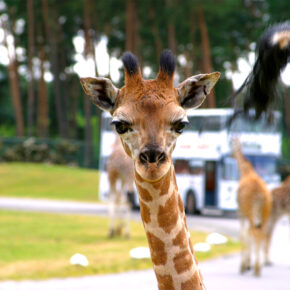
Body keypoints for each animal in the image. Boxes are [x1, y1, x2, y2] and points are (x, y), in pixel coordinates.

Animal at [232, 138, 274, 276]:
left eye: (231, 143)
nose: (231, 154)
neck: (245, 171)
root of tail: (260, 195)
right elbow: (248, 234)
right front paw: (247, 264)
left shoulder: (241, 212)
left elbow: (243, 234)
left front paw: (243, 266)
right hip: (265, 212)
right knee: (261, 232)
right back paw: (257, 267)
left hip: (251, 212)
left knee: (256, 233)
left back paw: (256, 269)